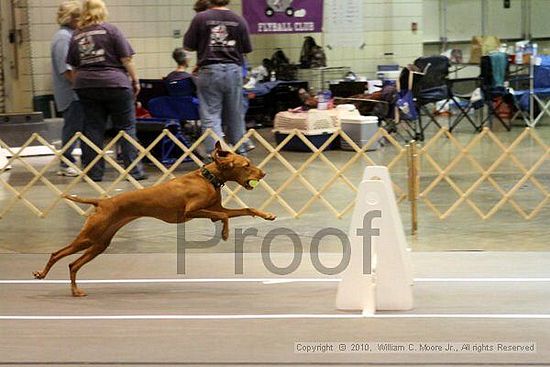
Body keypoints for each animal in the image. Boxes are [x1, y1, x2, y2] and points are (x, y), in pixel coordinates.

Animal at [32, 142, 278, 298]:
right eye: (246, 165)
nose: (263, 174)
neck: (207, 178)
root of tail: (102, 202)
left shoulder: (215, 207)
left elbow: (245, 208)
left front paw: (267, 215)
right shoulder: (191, 212)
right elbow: (224, 216)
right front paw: (225, 233)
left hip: (100, 243)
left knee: (73, 264)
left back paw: (75, 291)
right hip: (89, 237)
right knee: (57, 254)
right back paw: (42, 274)